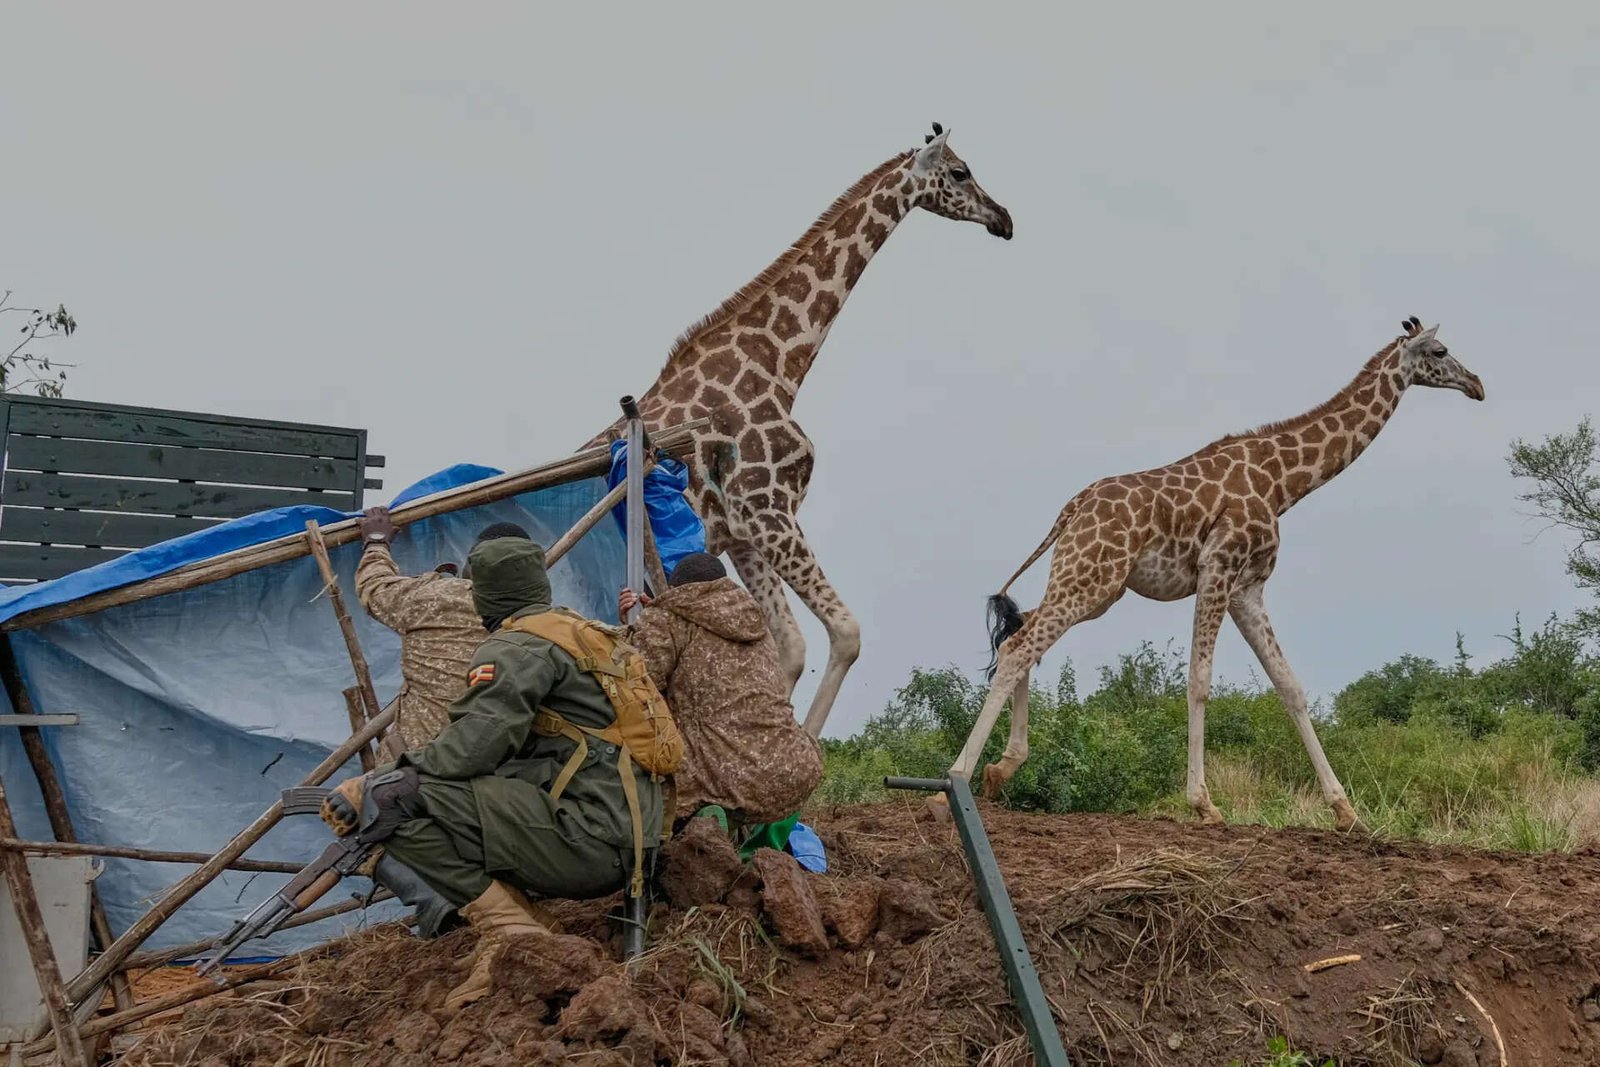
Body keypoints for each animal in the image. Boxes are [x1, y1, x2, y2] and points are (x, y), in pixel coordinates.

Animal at [586, 124, 1013, 737]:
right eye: (960, 171)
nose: (1004, 218)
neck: (779, 367)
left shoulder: (746, 532)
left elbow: (787, 648)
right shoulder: (770, 511)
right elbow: (845, 631)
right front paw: (802, 751)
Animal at [954, 317, 1485, 831]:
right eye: (1440, 351)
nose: (1477, 384)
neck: (1282, 482)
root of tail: (1072, 508)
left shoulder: (1247, 588)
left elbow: (1289, 685)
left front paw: (1345, 810)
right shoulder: (1218, 568)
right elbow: (1199, 680)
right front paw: (1204, 803)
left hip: (1094, 583)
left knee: (1020, 633)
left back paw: (1001, 770)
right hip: (1093, 576)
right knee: (1021, 645)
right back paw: (957, 779)